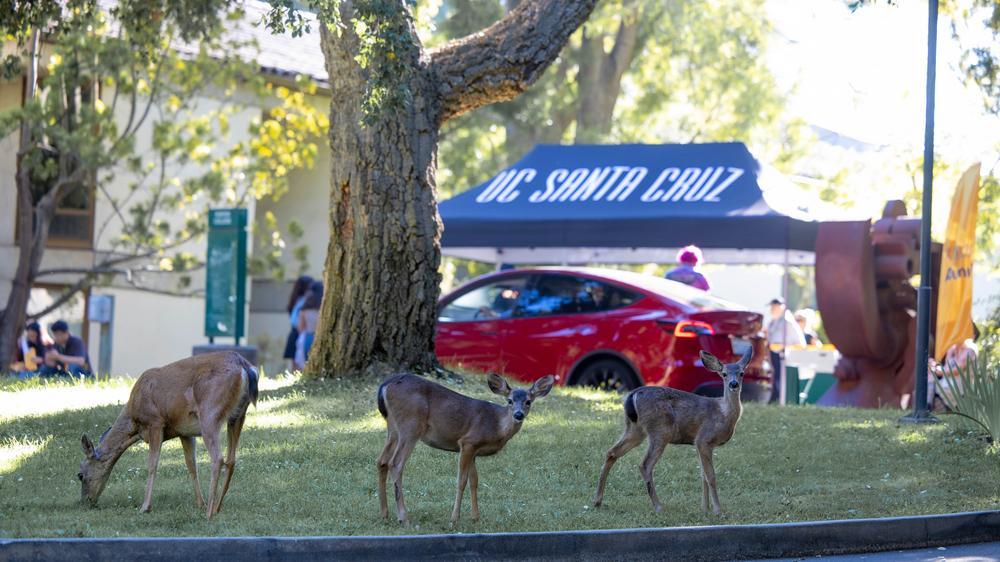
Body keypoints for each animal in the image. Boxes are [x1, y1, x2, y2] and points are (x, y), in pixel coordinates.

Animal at [77, 351, 258, 519]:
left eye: (80, 475)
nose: (86, 502)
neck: (134, 422)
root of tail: (245, 367)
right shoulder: (184, 432)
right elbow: (191, 465)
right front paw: (199, 503)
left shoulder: (155, 422)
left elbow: (152, 465)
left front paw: (145, 507)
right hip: (238, 415)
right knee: (231, 459)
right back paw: (216, 508)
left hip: (209, 414)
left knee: (218, 458)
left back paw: (209, 513)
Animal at [376, 372, 554, 524]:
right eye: (509, 401)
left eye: (528, 402)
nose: (518, 415)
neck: (496, 425)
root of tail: (386, 385)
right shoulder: (467, 442)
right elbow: (461, 481)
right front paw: (455, 518)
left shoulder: (474, 450)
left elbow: (474, 481)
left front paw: (475, 517)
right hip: (411, 424)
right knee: (396, 463)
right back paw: (403, 517)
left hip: (393, 427)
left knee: (381, 461)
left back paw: (384, 513)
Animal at [593, 348, 752, 515]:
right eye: (724, 374)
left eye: (742, 373)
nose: (734, 384)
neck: (724, 413)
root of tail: (632, 395)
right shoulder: (703, 439)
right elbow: (710, 476)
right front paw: (717, 511)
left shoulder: (699, 444)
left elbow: (702, 475)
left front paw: (704, 508)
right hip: (660, 430)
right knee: (645, 465)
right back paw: (658, 506)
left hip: (635, 429)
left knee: (612, 452)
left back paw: (597, 501)